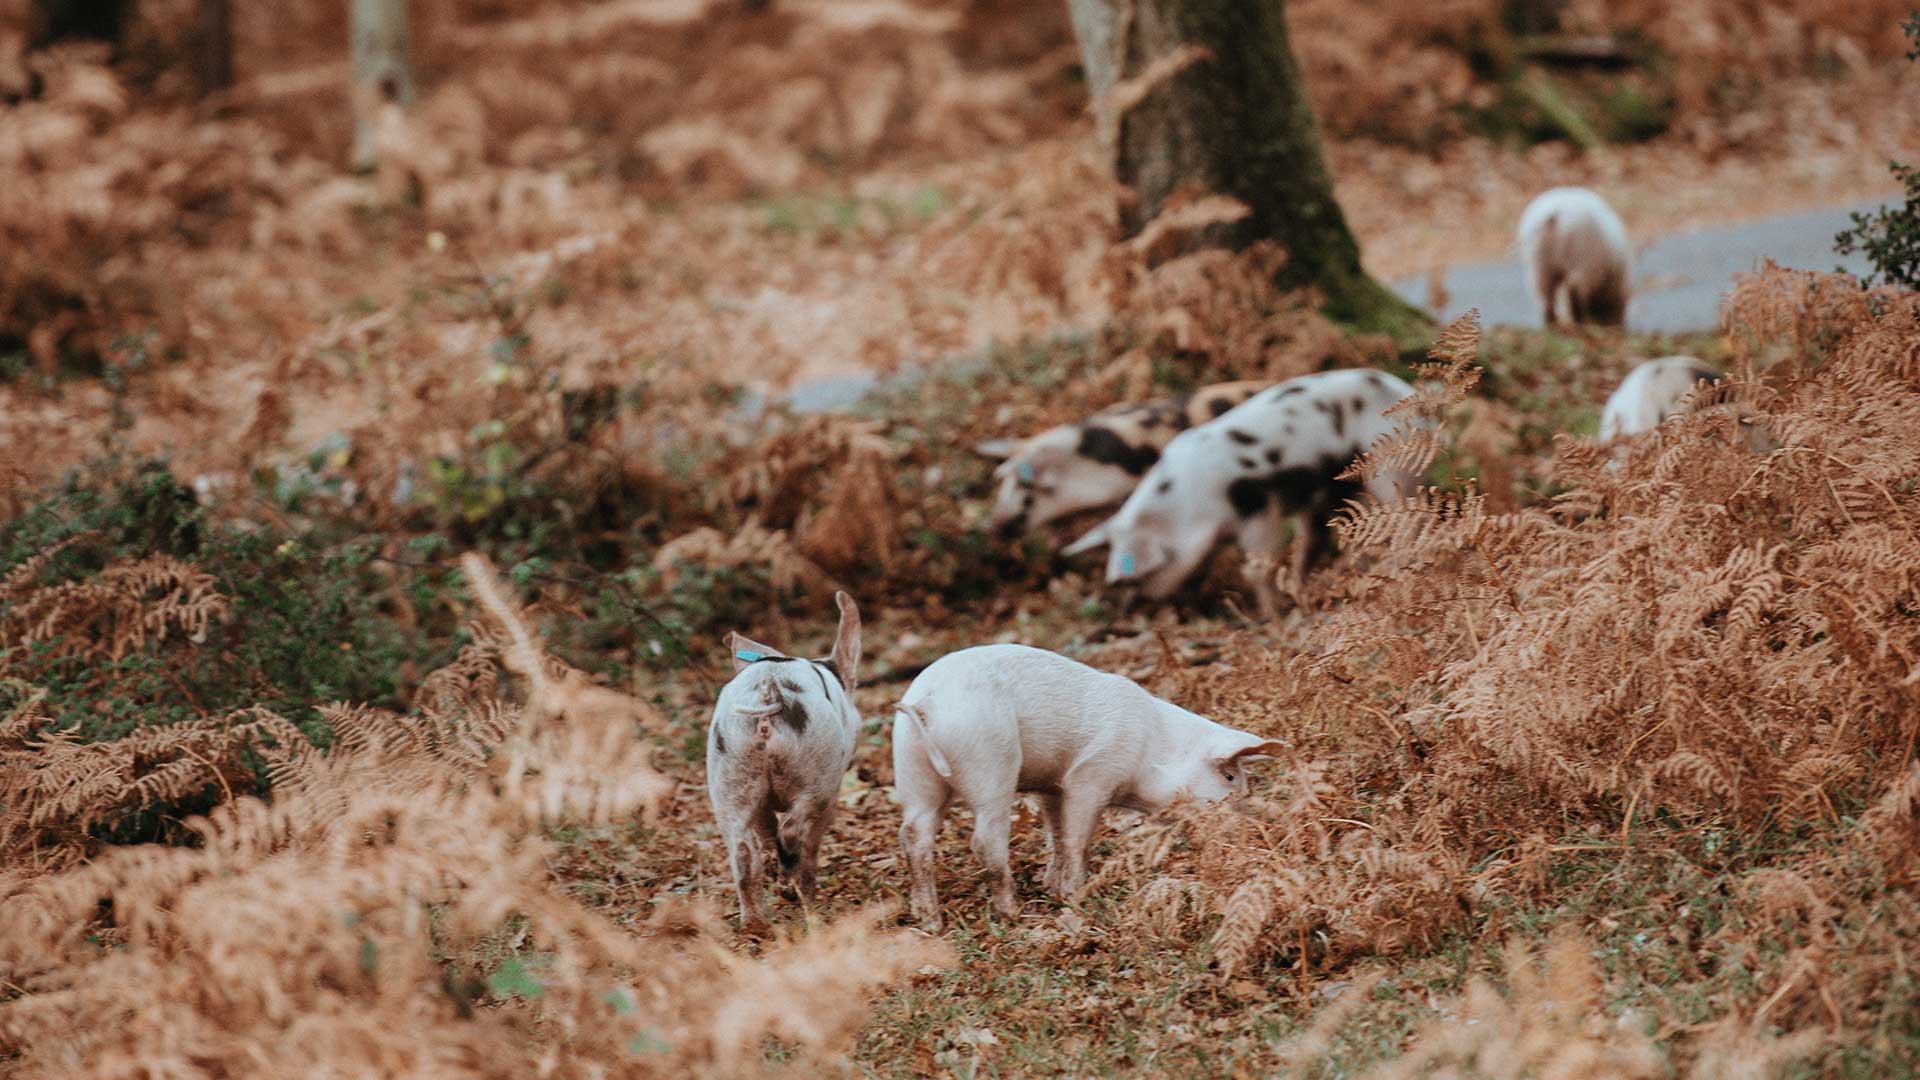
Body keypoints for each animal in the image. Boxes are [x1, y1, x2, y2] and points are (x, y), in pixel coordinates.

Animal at [1067, 367, 1428, 607]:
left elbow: (1257, 568)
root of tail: (1402, 388)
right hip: (1332, 488)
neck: (1189, 504)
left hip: (1388, 470)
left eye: (1140, 573)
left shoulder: (1260, 507)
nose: (1137, 603)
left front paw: (1271, 614)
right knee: (1317, 536)